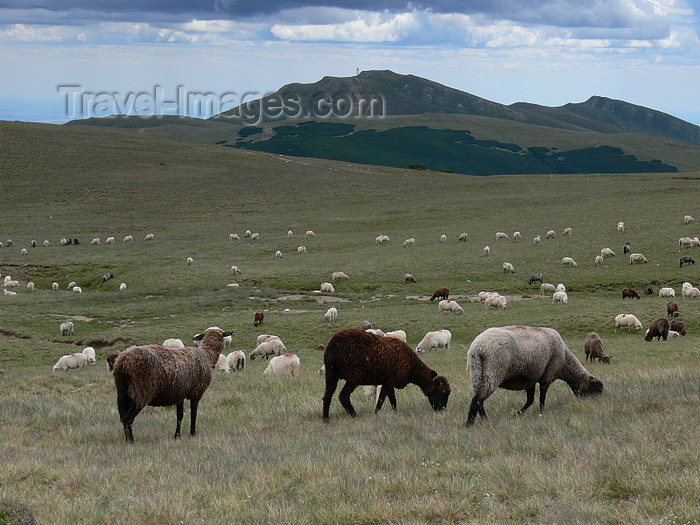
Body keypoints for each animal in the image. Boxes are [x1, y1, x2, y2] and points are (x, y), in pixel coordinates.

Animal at [322, 328, 452, 422]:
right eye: (443, 391)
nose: (442, 410)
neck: (411, 365)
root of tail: (333, 346)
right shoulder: (388, 382)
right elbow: (381, 400)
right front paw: (376, 414)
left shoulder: (390, 382)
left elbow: (393, 400)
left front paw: (395, 413)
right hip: (353, 376)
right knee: (343, 396)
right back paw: (354, 416)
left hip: (331, 374)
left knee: (327, 397)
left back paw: (326, 420)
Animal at [464, 324, 600, 426]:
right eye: (593, 390)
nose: (592, 404)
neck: (565, 362)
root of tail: (478, 348)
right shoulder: (547, 376)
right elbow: (541, 399)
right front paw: (541, 413)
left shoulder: (530, 379)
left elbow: (530, 400)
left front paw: (517, 414)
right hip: (493, 372)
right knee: (477, 400)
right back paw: (470, 424)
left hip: (477, 374)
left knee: (479, 400)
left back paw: (484, 419)